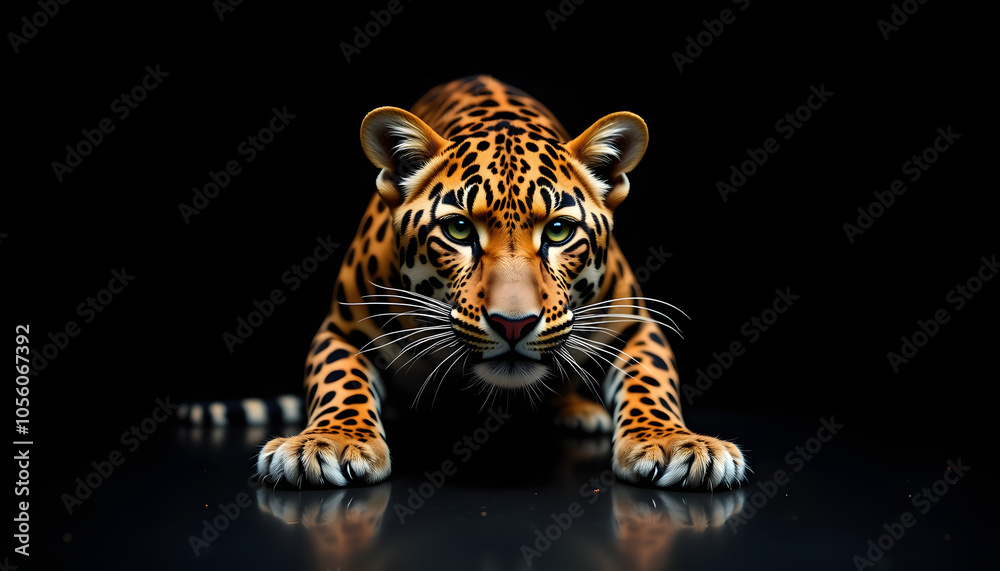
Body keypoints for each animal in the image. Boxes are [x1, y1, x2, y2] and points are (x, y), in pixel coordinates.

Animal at [256, 75, 747, 490]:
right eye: (458, 230)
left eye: (558, 232)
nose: (514, 324)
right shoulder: (342, 329)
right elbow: (339, 380)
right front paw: (329, 442)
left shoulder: (637, 325)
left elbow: (652, 381)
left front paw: (675, 443)